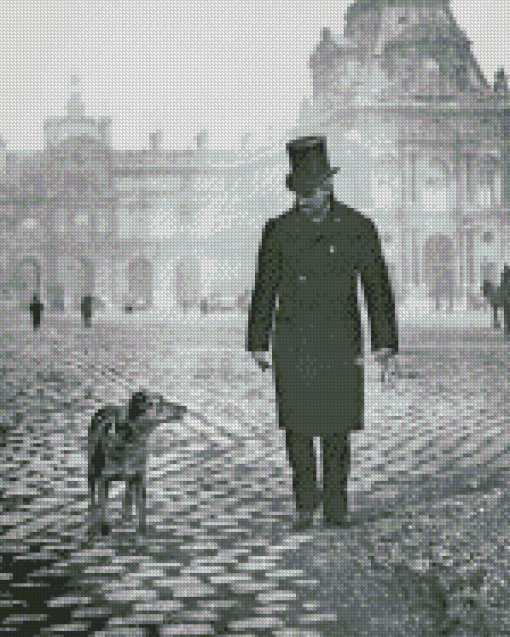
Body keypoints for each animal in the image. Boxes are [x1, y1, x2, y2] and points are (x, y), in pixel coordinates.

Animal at [88, 390, 187, 536]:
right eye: (161, 401)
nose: (185, 408)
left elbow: (141, 506)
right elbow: (103, 506)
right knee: (92, 498)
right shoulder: (103, 480)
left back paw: (127, 514)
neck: (130, 441)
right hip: (92, 471)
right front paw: (104, 528)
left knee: (128, 493)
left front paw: (142, 529)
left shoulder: (140, 478)